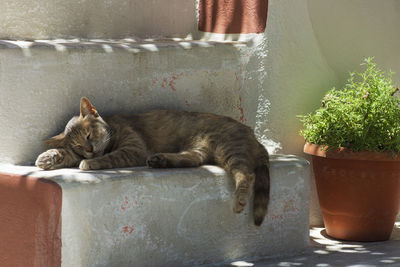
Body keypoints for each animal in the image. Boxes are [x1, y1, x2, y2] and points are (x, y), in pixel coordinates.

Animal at [36, 98, 270, 226]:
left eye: (88, 135)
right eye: (78, 144)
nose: (89, 149)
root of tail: (254, 136)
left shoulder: (133, 149)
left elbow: (109, 157)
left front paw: (90, 163)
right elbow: (66, 153)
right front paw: (48, 156)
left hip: (229, 149)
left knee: (246, 174)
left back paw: (240, 200)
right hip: (199, 149)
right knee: (192, 159)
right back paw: (160, 160)